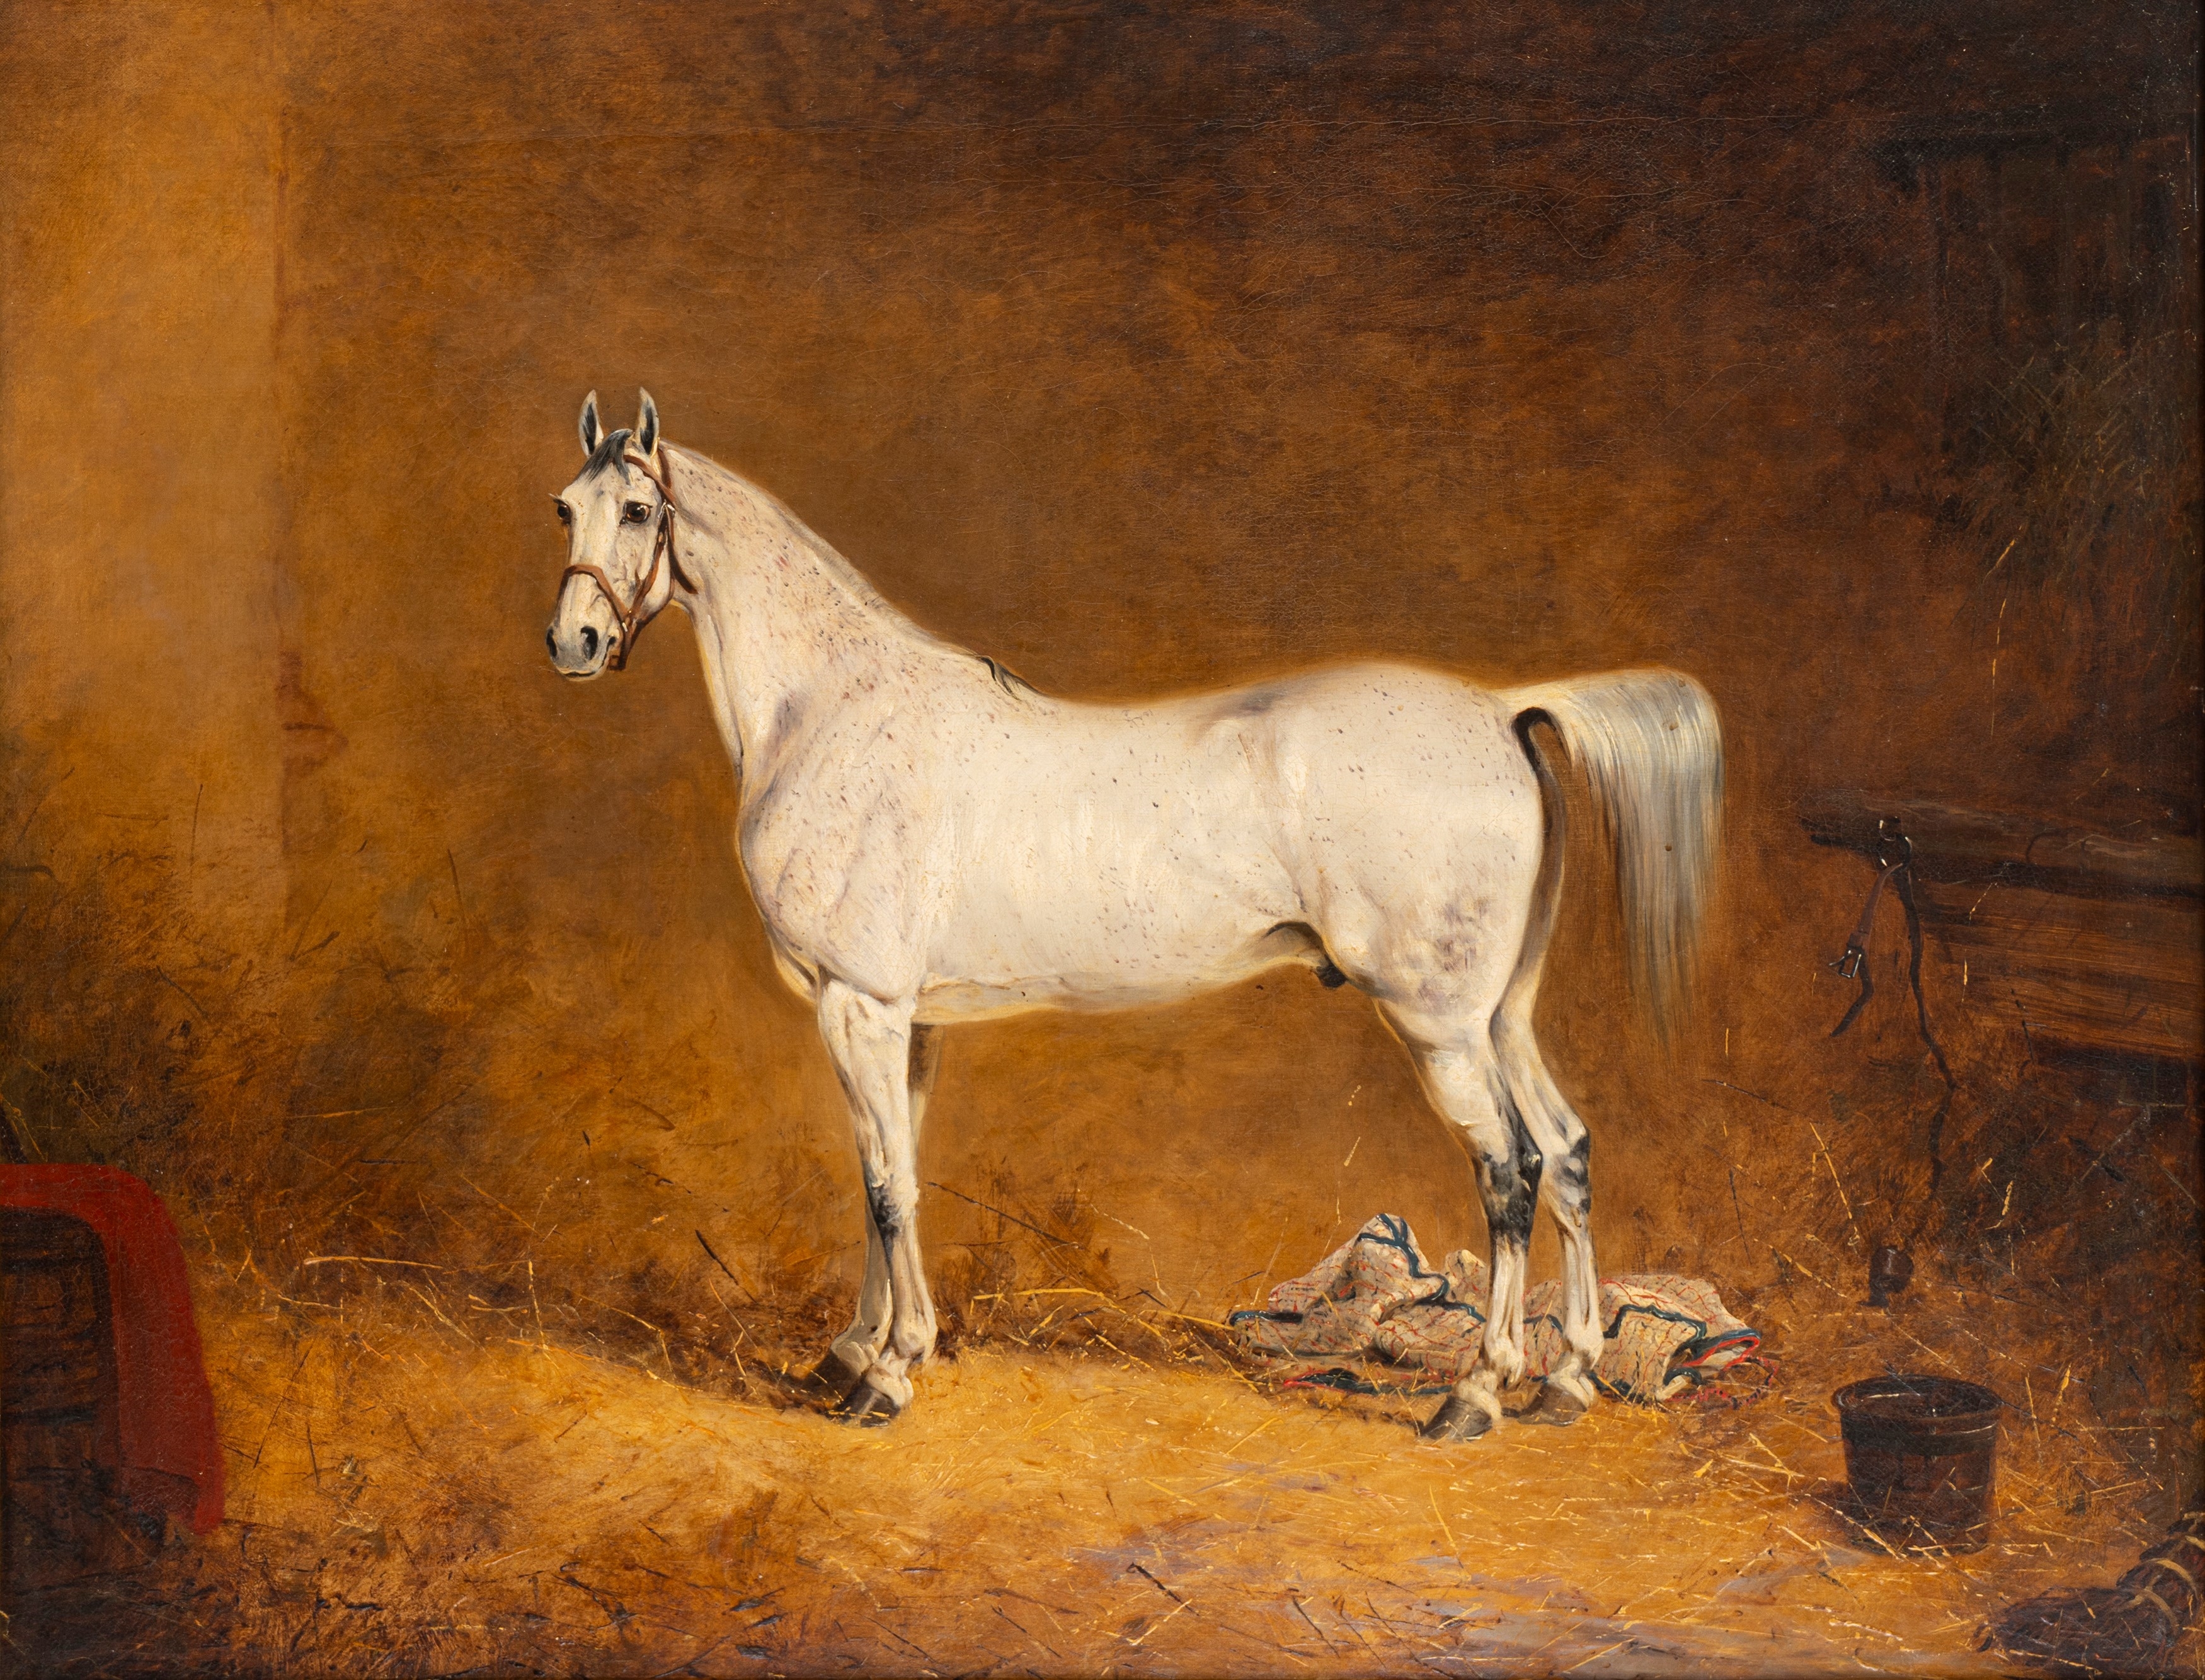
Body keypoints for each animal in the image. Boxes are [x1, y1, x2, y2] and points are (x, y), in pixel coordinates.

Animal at [544, 390, 1723, 1441]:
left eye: (639, 510)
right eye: (564, 507)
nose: (574, 643)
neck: (836, 712)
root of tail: (1499, 709)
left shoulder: (860, 1006)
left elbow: (885, 1187)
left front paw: (884, 1376)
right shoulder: (905, 1020)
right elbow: (891, 1176)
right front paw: (859, 1348)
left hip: (1439, 1024)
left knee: (1509, 1172)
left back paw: (1476, 1393)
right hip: (1500, 1014)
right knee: (1567, 1152)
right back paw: (1567, 1380)